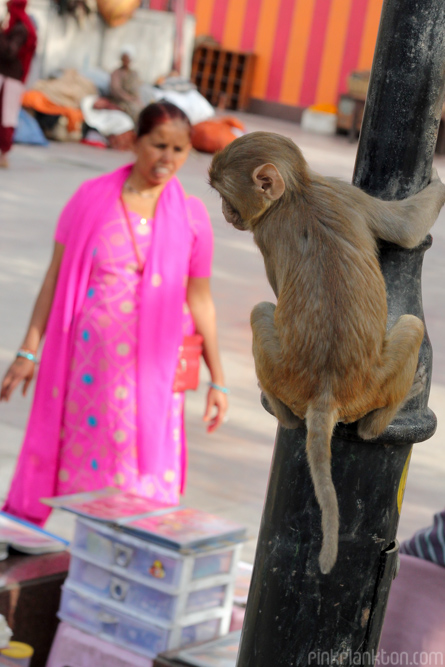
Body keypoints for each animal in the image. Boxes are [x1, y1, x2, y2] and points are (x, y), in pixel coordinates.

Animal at [207, 130, 444, 576]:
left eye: (226, 194)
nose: (226, 212)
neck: (298, 193)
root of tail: (326, 391)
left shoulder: (281, 222)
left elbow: (405, 232)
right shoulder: (343, 193)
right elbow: (405, 228)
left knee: (262, 311)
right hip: (368, 379)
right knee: (410, 326)